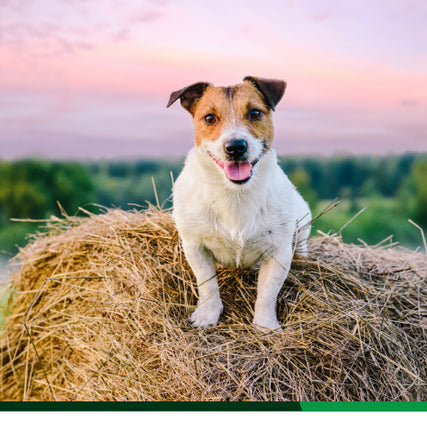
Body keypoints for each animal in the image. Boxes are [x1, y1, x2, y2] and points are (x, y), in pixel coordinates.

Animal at [166, 77, 310, 332]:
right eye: (209, 118)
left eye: (255, 113)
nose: (235, 147)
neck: (235, 194)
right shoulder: (195, 247)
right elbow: (208, 285)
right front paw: (207, 316)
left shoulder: (279, 252)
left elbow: (267, 293)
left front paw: (265, 325)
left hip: (304, 222)